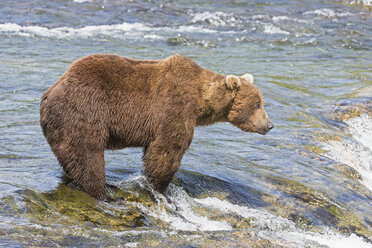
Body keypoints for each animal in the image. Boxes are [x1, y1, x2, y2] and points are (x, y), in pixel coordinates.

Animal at [40, 53, 274, 200]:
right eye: (257, 104)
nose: (270, 125)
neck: (200, 101)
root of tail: (50, 91)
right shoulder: (174, 106)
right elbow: (167, 149)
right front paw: (161, 189)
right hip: (84, 110)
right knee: (88, 154)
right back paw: (103, 192)